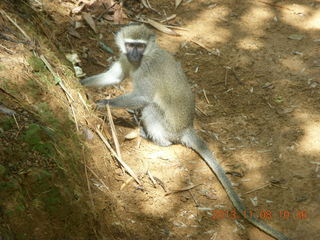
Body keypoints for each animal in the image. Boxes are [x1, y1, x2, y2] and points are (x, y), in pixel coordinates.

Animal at [80, 23, 290, 240]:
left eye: (140, 46)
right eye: (130, 45)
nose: (135, 54)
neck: (143, 58)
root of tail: (187, 127)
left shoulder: (147, 69)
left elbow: (143, 97)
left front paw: (103, 103)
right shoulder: (125, 58)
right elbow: (114, 77)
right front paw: (80, 81)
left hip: (169, 127)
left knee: (151, 108)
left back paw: (156, 139)